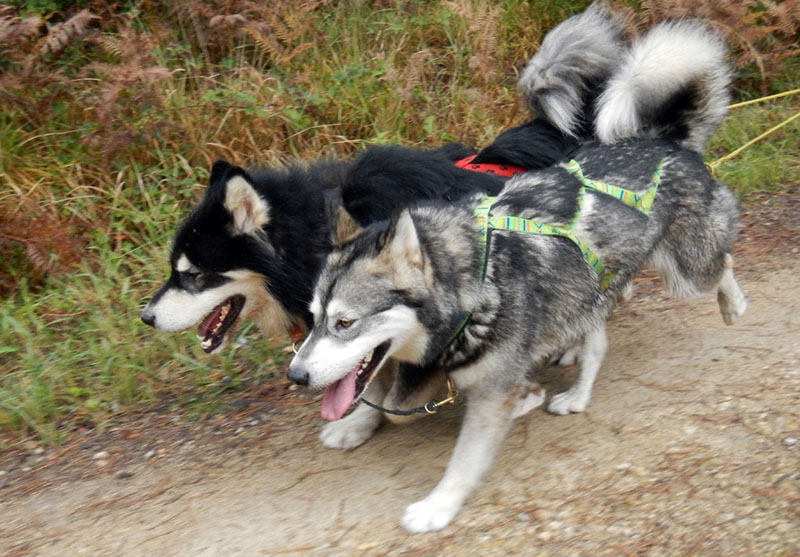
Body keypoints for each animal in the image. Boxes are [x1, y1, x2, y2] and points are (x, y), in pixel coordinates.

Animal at [290, 17, 752, 532]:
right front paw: (357, 424)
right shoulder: (419, 363)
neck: (477, 281)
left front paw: (439, 504)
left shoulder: (491, 391)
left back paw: (733, 305)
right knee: (598, 342)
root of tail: (663, 139)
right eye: (313, 319)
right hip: (589, 288)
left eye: (345, 323)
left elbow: (460, 451)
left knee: (723, 265)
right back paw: (576, 390)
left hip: (687, 274)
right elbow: (390, 400)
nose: (296, 375)